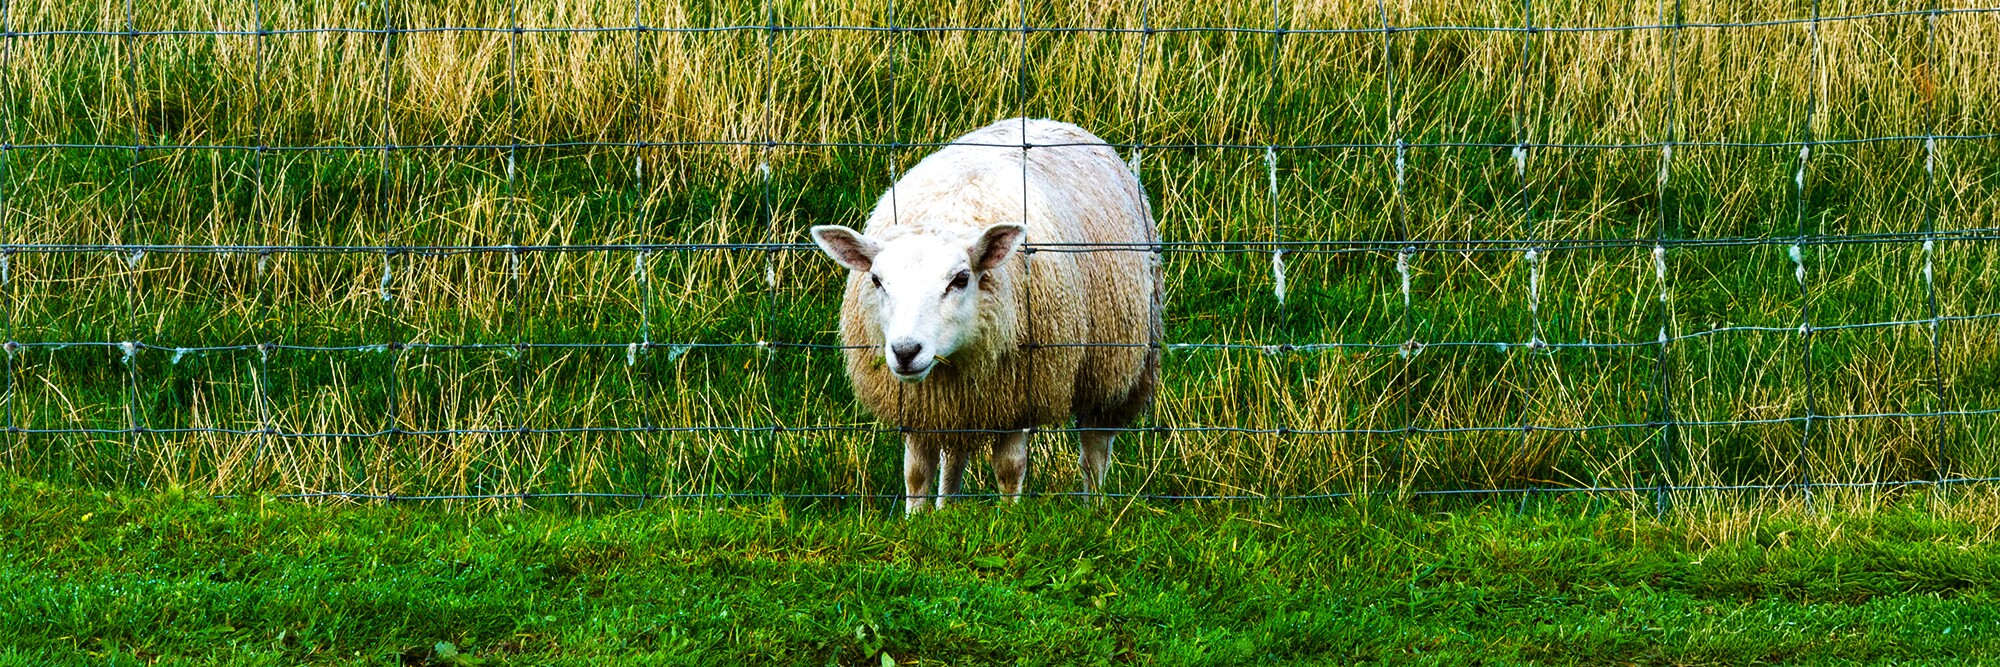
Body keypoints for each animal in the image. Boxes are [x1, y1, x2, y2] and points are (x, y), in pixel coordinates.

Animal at [809, 117, 1161, 514]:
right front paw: (916, 520)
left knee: (1095, 448)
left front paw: (1010, 516)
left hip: (1114, 366)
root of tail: (1043, 119)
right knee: (954, 457)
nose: (905, 351)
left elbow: (1009, 469)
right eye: (876, 280)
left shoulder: (1018, 394)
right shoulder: (921, 405)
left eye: (961, 279)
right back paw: (946, 508)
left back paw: (1096, 507)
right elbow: (916, 473)